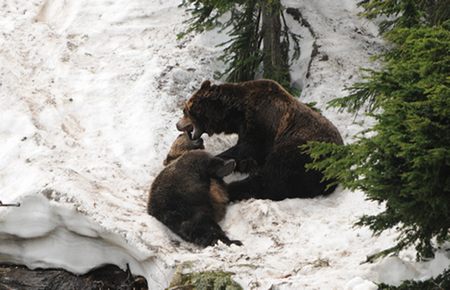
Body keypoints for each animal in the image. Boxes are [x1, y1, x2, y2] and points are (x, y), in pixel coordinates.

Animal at [177, 79, 344, 202]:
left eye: (185, 111)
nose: (177, 124)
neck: (238, 113)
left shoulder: (263, 123)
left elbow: (248, 148)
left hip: (302, 151)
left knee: (272, 179)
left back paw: (232, 188)